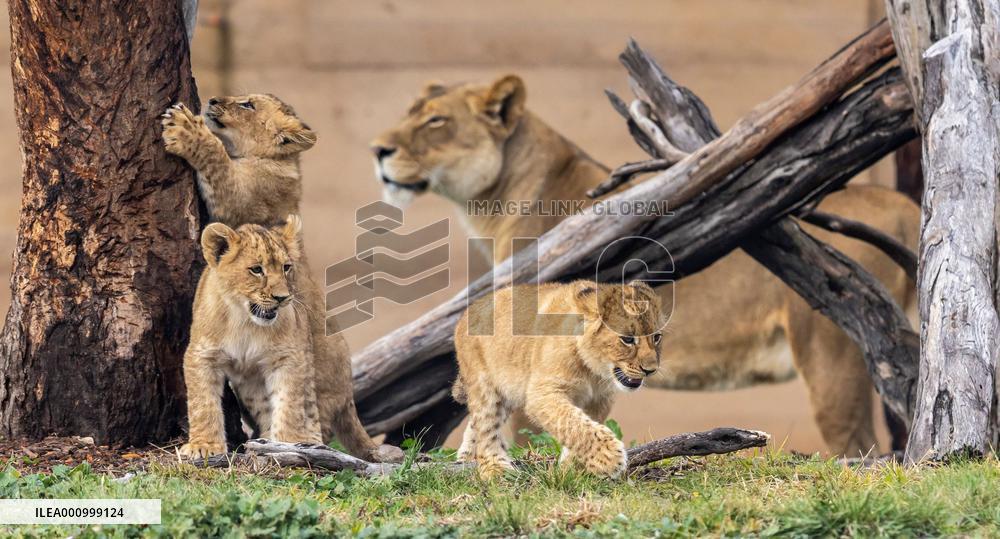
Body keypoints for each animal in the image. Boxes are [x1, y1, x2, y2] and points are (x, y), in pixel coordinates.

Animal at [163, 96, 402, 462]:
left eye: (247, 104)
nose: (213, 99)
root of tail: (349, 398)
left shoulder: (237, 202)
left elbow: (217, 162)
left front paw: (185, 129)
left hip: (314, 380)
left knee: (310, 418)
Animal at [453, 280, 664, 478]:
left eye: (656, 337)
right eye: (627, 339)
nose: (650, 370)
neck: (594, 371)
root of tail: (467, 312)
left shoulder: (599, 399)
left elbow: (584, 425)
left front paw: (570, 470)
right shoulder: (542, 393)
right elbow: (573, 423)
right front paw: (609, 457)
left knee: (476, 423)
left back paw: (465, 458)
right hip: (484, 385)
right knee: (486, 427)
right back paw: (496, 470)